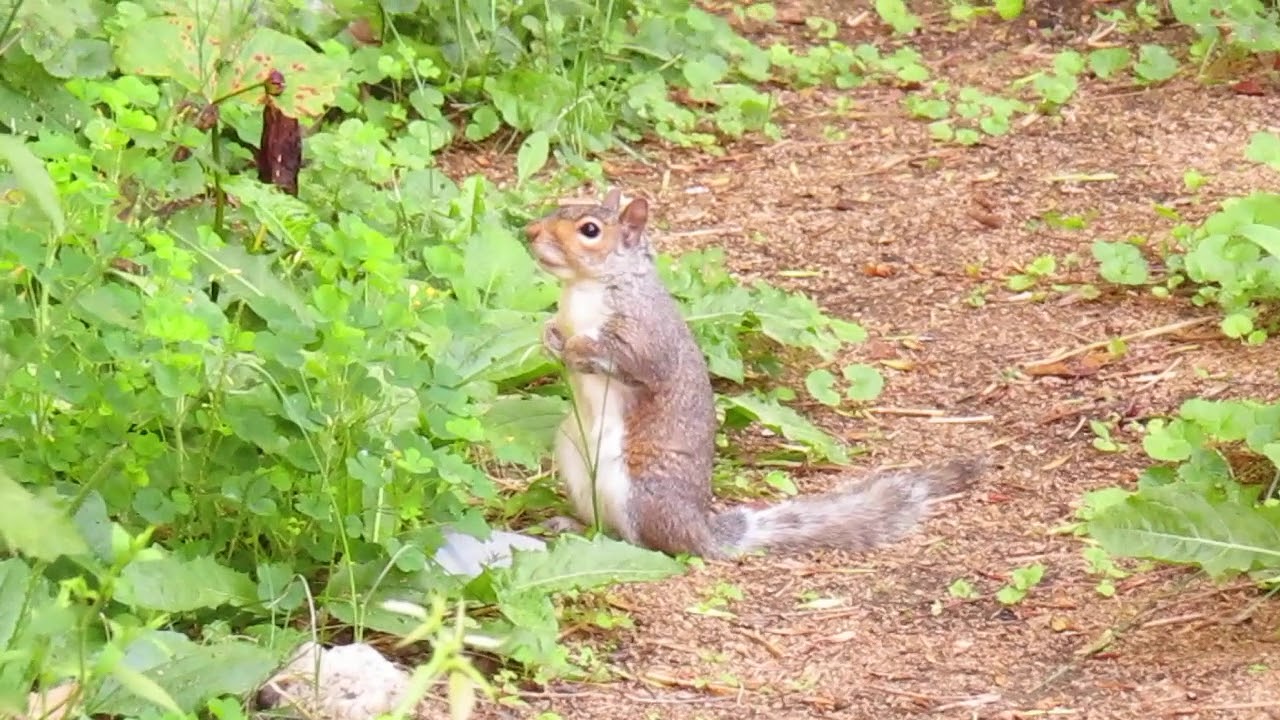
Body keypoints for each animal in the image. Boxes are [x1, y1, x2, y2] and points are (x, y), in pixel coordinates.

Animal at [523, 188, 984, 560]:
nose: (530, 231)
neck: (584, 290)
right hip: (573, 459)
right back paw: (572, 525)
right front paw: (549, 336)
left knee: (647, 544)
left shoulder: (646, 335)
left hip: (639, 493)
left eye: (589, 230)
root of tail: (699, 530)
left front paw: (579, 348)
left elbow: (630, 360)